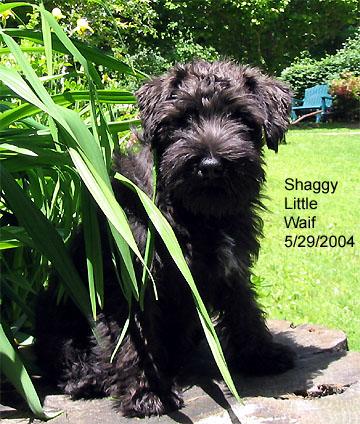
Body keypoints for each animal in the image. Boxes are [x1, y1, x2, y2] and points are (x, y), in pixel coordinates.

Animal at [35, 59, 296, 418]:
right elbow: (137, 342)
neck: (194, 213)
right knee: (66, 358)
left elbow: (245, 310)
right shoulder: (133, 284)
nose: (211, 165)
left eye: (241, 117)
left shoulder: (233, 267)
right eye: (183, 118)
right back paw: (89, 376)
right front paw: (148, 393)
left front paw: (261, 355)